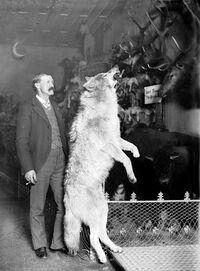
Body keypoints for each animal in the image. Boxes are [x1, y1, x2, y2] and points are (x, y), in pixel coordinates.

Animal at [63, 66, 139, 264]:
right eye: (105, 74)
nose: (116, 67)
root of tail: (67, 199)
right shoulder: (110, 145)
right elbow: (126, 159)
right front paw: (132, 177)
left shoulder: (117, 139)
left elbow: (131, 147)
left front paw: (137, 153)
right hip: (96, 215)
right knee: (92, 238)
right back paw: (103, 258)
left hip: (104, 210)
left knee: (102, 235)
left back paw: (114, 249)